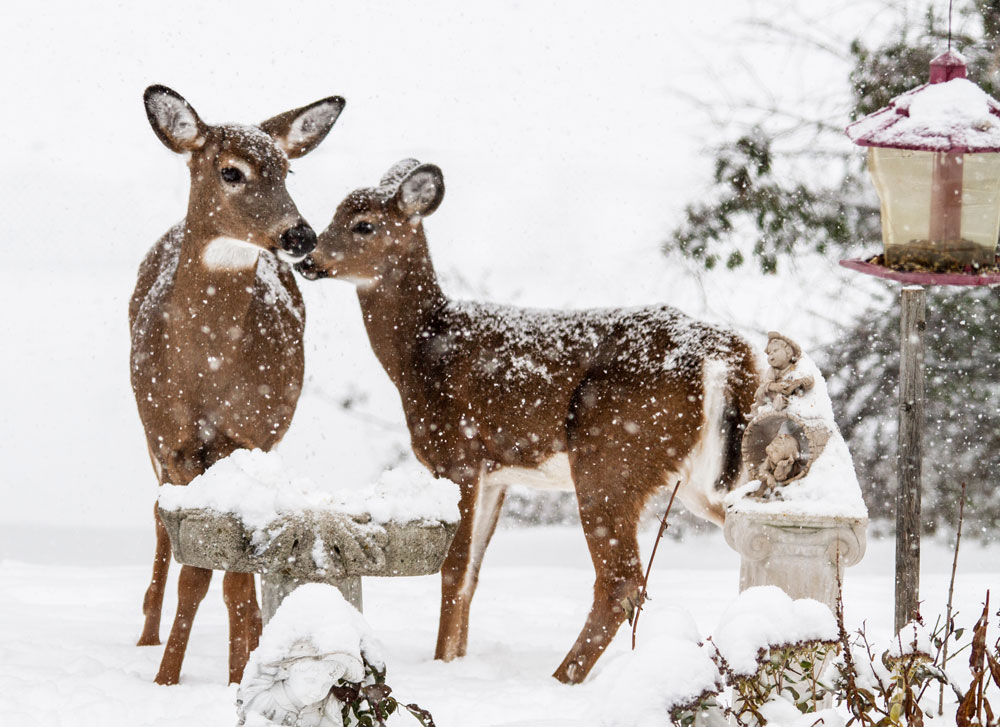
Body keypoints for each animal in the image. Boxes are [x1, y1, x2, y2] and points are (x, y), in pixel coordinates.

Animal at [131, 86, 346, 688]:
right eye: (231, 171)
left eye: (287, 168)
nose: (300, 234)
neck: (207, 368)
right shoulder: (173, 443)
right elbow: (195, 567)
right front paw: (165, 679)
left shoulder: (248, 437)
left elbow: (228, 573)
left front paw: (234, 675)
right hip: (153, 442)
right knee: (159, 524)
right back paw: (146, 633)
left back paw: (250, 642)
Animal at [294, 158, 756, 684]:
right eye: (333, 215)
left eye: (364, 224)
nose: (307, 260)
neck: (422, 351)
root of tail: (722, 352)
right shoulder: (498, 473)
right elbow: (473, 574)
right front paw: (456, 661)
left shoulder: (460, 453)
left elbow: (453, 570)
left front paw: (441, 667)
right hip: (702, 474)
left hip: (609, 452)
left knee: (620, 582)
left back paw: (561, 680)